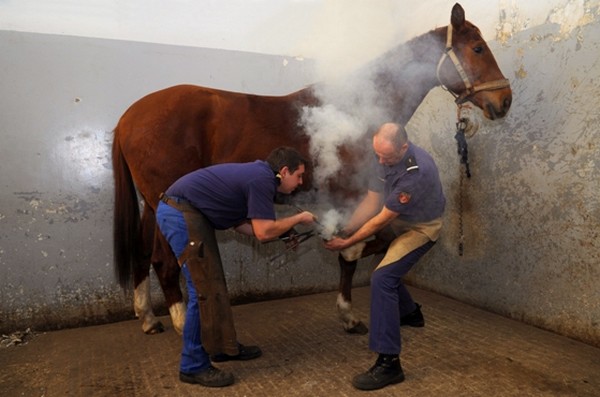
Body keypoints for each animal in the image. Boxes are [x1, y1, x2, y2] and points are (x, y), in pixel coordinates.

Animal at [112, 4, 510, 336]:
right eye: (478, 48)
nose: (504, 101)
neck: (358, 105)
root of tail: (128, 116)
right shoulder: (351, 196)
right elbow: (354, 253)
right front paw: (349, 316)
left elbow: (373, 246)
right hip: (169, 204)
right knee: (163, 260)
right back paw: (182, 324)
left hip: (151, 205)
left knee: (143, 255)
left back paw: (148, 318)